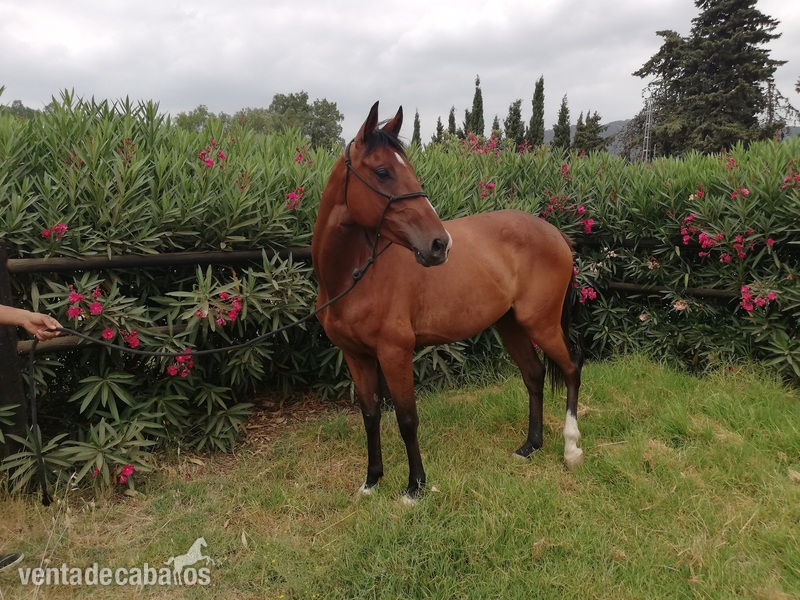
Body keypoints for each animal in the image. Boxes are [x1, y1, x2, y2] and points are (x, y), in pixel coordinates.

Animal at [312, 102, 583, 502]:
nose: (440, 244)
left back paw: (571, 448)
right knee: (533, 375)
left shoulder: (395, 353)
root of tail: (554, 232)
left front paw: (415, 488)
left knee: (571, 369)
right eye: (383, 171)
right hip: (511, 324)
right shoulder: (356, 356)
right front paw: (371, 482)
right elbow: (371, 415)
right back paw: (530, 447)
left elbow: (407, 419)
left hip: (541, 324)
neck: (353, 275)